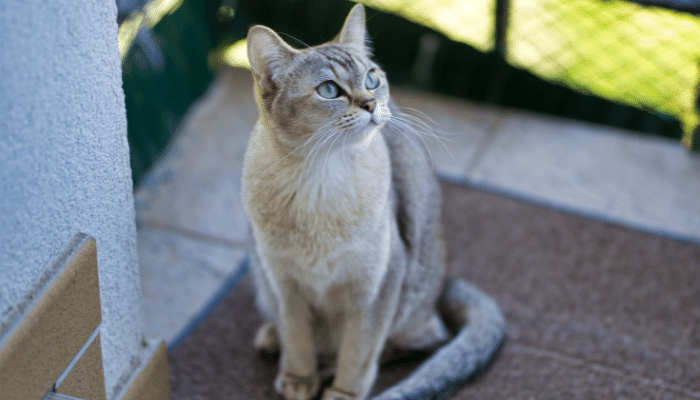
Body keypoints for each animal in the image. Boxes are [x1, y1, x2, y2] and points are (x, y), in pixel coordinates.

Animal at [241, 3, 504, 400]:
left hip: (410, 298)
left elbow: (359, 349)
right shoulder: (283, 282)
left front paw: (342, 392)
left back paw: (328, 363)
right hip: (260, 274)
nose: (371, 104)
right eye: (329, 89)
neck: (319, 180)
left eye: (371, 79)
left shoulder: (377, 284)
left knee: (426, 341)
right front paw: (299, 377)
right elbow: (297, 335)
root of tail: (443, 284)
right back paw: (277, 340)